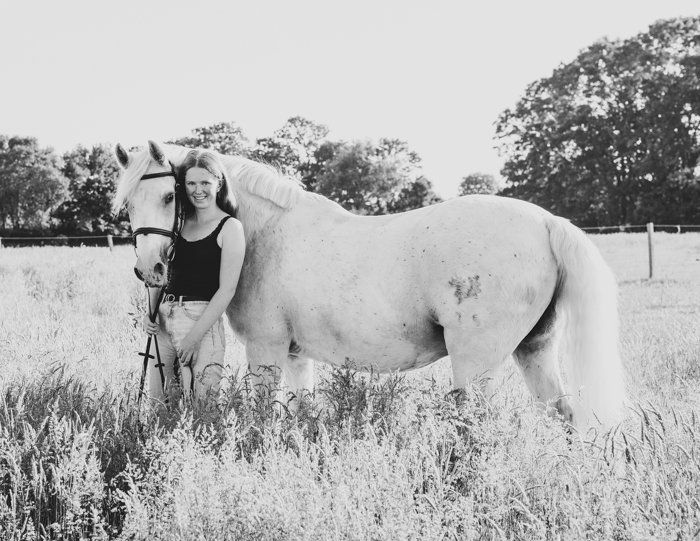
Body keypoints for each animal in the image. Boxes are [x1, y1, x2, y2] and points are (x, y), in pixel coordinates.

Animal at [113, 140, 625, 429]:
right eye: (126, 205)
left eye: (170, 194)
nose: (150, 270)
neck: (264, 232)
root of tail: (547, 222)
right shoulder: (296, 355)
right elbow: (299, 410)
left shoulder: (266, 350)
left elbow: (262, 411)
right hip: (534, 349)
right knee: (563, 415)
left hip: (476, 362)